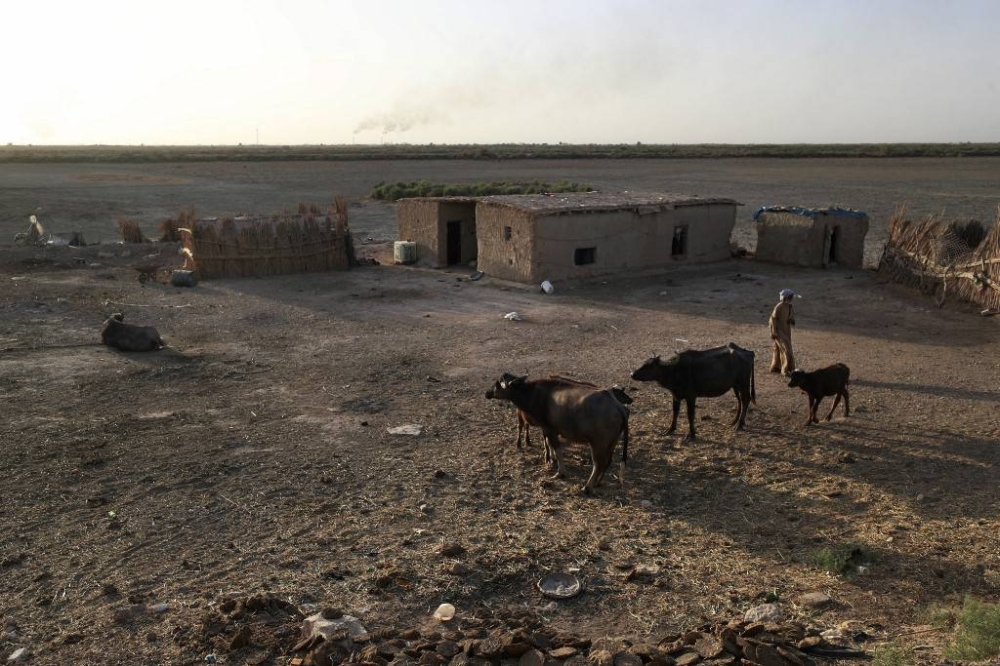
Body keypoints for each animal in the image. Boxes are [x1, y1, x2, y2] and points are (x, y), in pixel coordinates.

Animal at [482, 374, 624, 492]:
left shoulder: (549, 429)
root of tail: (617, 406)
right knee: (607, 462)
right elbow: (550, 445)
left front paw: (560, 471)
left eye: (497, 383)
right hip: (612, 443)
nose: (487, 393)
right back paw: (598, 482)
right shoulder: (549, 430)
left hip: (598, 444)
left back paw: (588, 487)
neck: (532, 394)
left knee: (598, 464)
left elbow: (557, 448)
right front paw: (551, 459)